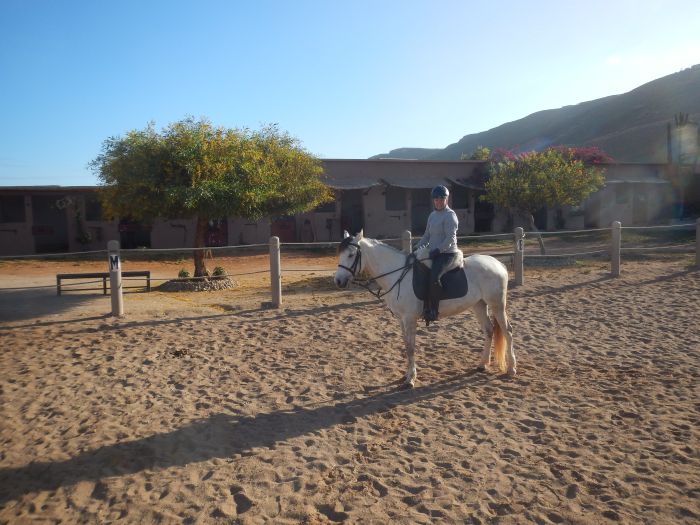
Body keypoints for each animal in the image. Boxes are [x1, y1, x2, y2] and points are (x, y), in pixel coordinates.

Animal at [330, 231, 516, 386]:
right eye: (340, 254)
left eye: (351, 255)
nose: (338, 281)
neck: (397, 275)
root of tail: (498, 263)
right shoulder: (401, 319)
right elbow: (406, 345)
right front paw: (406, 375)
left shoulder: (410, 318)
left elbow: (411, 347)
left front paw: (411, 379)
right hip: (479, 304)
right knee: (489, 330)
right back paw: (482, 364)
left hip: (497, 305)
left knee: (507, 331)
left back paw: (511, 368)